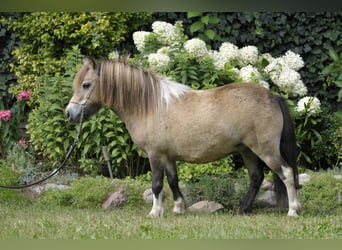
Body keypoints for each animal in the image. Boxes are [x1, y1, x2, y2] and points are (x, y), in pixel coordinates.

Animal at [65, 56, 300, 217]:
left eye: (86, 84)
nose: (69, 114)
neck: (149, 106)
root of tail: (273, 97)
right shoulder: (168, 156)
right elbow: (173, 181)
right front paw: (178, 209)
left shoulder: (155, 155)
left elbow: (157, 184)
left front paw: (154, 213)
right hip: (247, 150)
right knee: (256, 178)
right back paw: (243, 209)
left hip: (265, 150)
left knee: (287, 173)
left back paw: (292, 210)